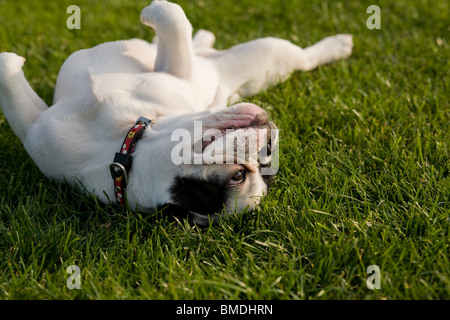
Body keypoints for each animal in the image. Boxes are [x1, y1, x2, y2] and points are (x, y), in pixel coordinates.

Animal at [0, 0, 352, 225]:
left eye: (239, 176)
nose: (268, 145)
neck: (125, 142)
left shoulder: (179, 73)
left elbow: (172, 15)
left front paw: (152, 12)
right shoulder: (37, 130)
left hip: (272, 53)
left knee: (304, 58)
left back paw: (338, 46)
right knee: (194, 44)